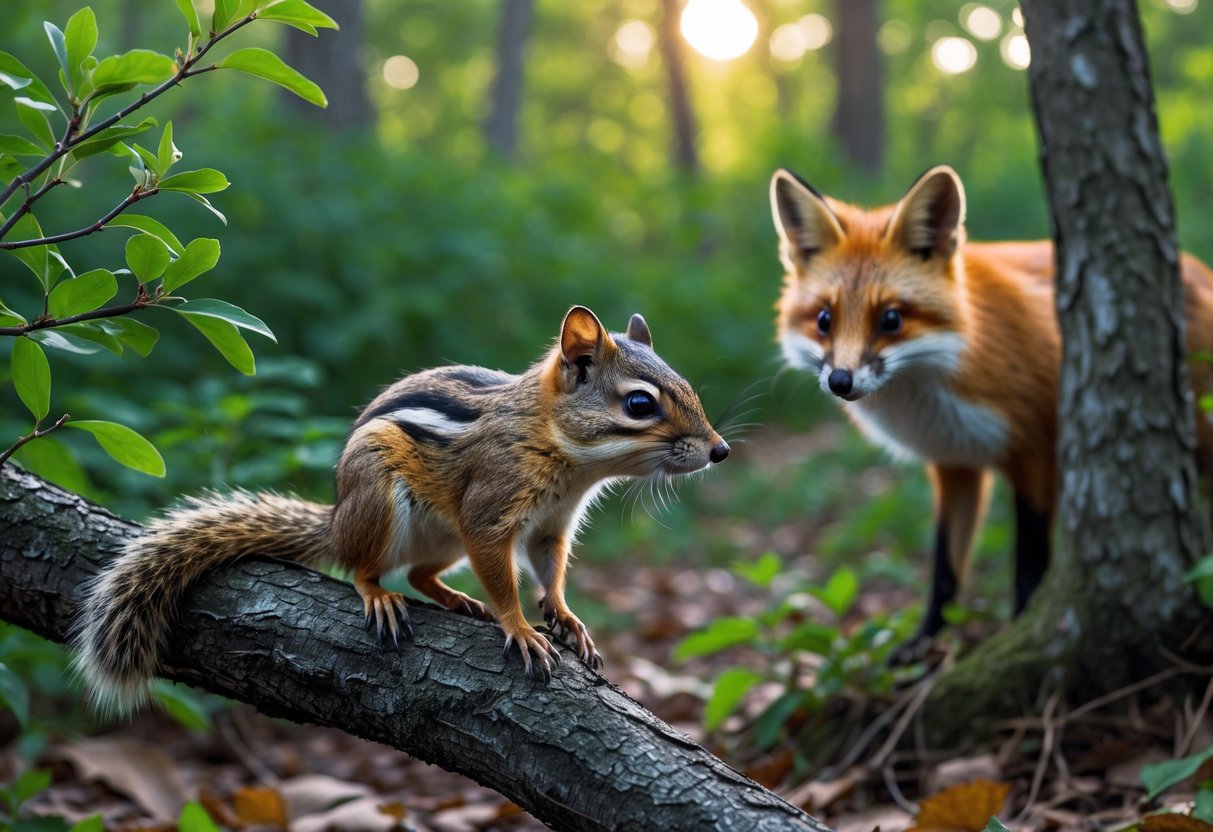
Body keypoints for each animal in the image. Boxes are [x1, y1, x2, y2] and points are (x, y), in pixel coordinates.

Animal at [74, 306, 730, 712]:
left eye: (687, 384)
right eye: (640, 404)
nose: (720, 450)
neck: (561, 451)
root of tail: (336, 519)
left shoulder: (551, 527)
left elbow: (551, 571)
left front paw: (565, 616)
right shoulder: (489, 513)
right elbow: (504, 576)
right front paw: (520, 626)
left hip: (441, 539)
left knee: (418, 573)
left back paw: (459, 600)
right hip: (381, 502)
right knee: (364, 568)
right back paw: (382, 596)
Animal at [769, 164, 1213, 663]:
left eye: (891, 319)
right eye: (824, 320)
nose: (840, 381)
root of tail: (1195, 266)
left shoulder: (1036, 453)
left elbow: (1030, 564)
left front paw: (1018, 634)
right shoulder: (954, 465)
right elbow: (944, 571)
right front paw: (922, 646)